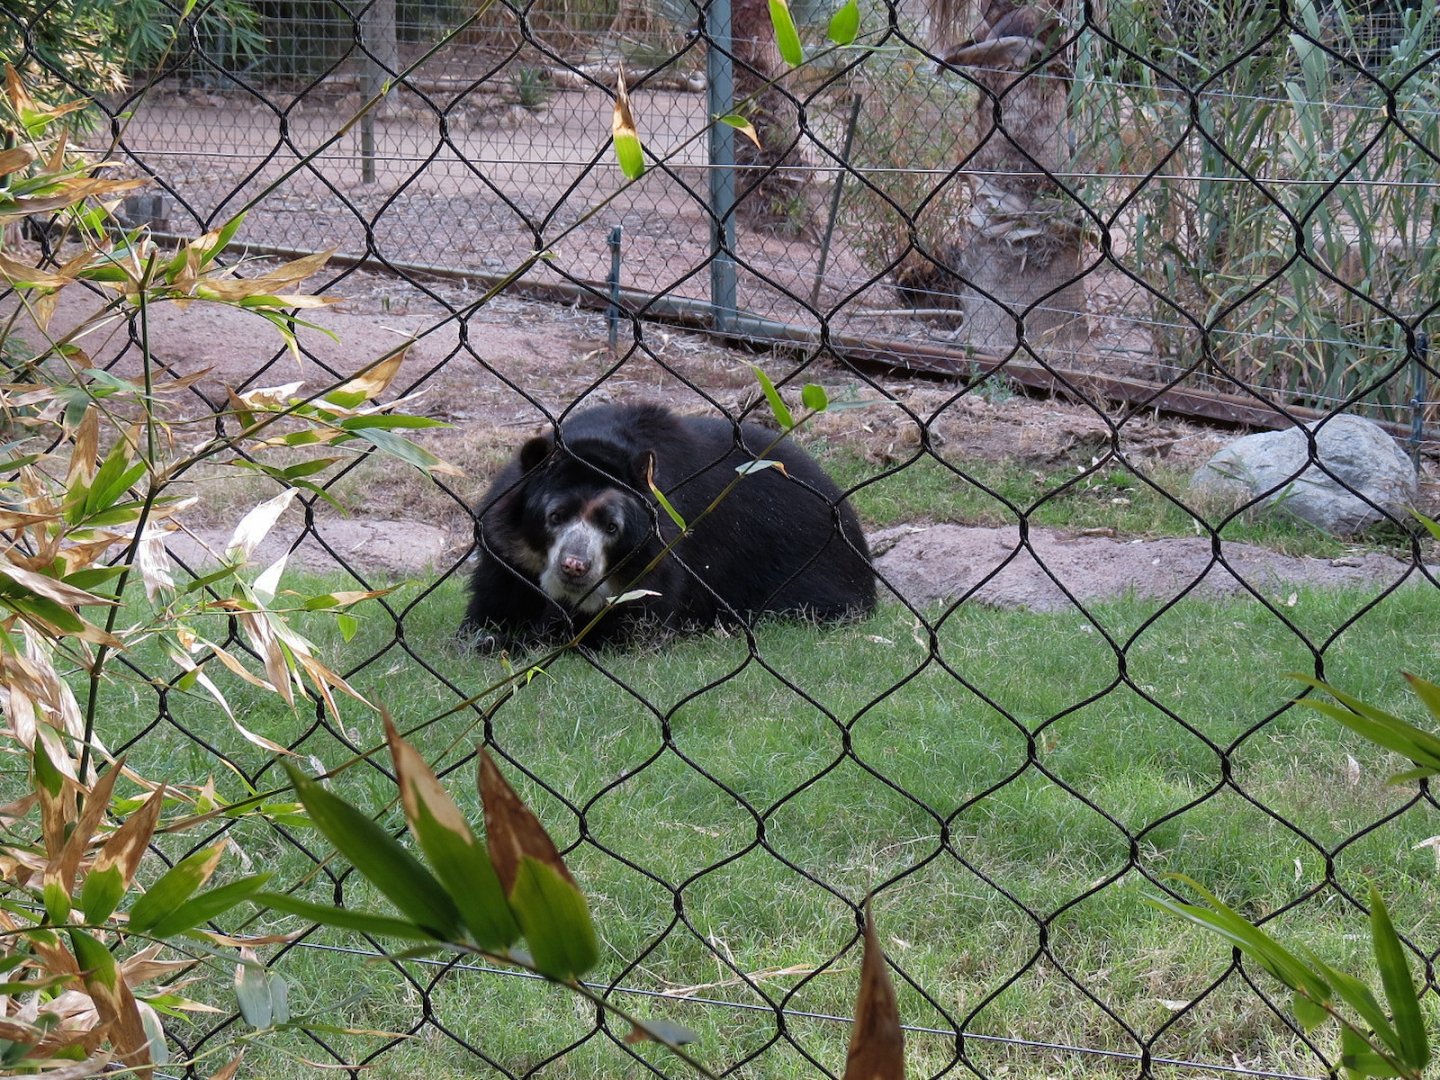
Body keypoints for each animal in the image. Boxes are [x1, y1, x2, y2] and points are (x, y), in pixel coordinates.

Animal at [459, 402, 876, 651]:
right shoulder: (506, 554)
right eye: (555, 516)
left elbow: (630, 627)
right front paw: (489, 634)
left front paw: (516, 642)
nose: (575, 565)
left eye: (612, 527)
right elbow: (491, 602)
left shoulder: (662, 560)